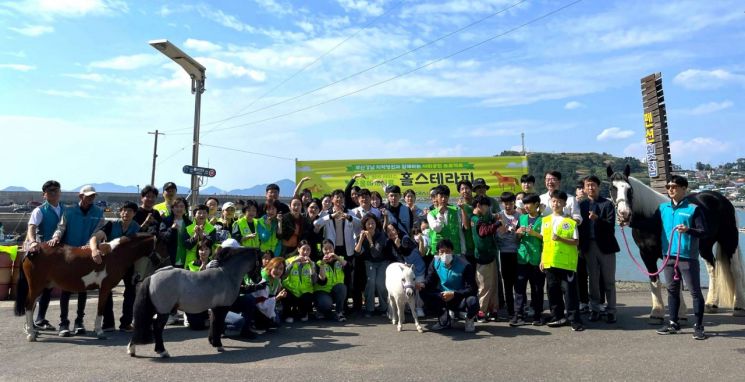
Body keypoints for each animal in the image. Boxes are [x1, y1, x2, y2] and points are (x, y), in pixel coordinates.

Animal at [14, 234, 163, 342]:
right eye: (163, 243)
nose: (160, 261)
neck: (115, 254)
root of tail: (31, 251)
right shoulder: (105, 288)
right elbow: (100, 309)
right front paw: (100, 332)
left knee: (32, 306)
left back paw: (32, 331)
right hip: (36, 286)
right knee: (29, 306)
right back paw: (31, 335)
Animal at [604, 164, 744, 322]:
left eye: (629, 189)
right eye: (612, 188)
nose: (624, 214)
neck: (652, 220)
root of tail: (721, 199)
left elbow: (675, 281)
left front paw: (680, 313)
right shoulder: (646, 255)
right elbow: (655, 280)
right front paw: (657, 313)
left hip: (729, 240)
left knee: (736, 271)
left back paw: (738, 307)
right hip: (705, 246)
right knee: (712, 268)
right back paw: (711, 304)